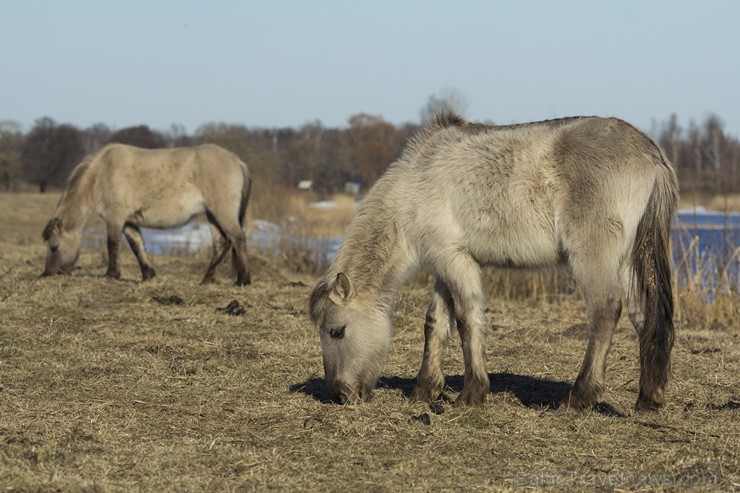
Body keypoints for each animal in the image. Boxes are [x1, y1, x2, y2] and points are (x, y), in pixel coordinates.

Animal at [43, 142, 253, 284]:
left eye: (54, 246)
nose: (47, 274)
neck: (102, 173)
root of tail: (238, 161)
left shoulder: (114, 218)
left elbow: (113, 244)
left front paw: (111, 274)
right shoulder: (128, 221)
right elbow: (137, 245)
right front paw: (147, 275)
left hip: (222, 212)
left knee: (238, 238)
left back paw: (242, 279)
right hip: (212, 214)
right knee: (221, 242)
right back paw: (207, 279)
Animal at [310, 114, 680, 412]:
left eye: (337, 331)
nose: (340, 396)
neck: (415, 184)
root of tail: (650, 153)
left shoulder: (455, 260)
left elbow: (467, 320)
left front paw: (471, 395)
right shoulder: (444, 262)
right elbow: (435, 324)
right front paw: (425, 391)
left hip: (594, 256)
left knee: (605, 311)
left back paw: (578, 398)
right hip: (630, 259)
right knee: (644, 316)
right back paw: (648, 399)